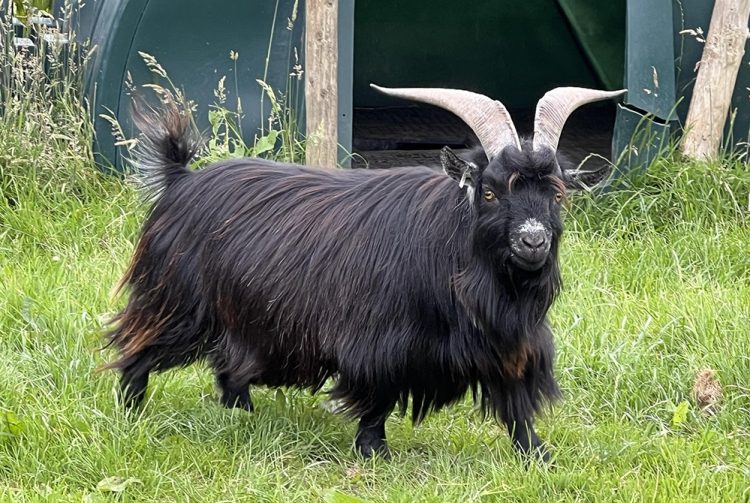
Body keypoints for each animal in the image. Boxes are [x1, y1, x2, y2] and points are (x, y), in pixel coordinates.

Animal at [106, 85, 624, 462]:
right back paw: (130, 415)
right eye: (491, 192)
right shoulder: (382, 341)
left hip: (246, 317)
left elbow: (516, 401)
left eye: (556, 194)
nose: (533, 241)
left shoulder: (510, 342)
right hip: (176, 303)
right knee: (137, 353)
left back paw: (244, 418)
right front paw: (374, 452)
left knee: (229, 367)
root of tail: (181, 181)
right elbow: (379, 395)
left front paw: (538, 456)